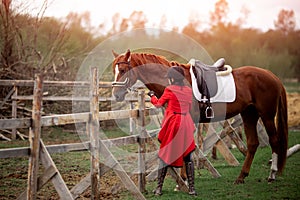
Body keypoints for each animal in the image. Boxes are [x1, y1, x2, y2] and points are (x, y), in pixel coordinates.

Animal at [112, 49, 288, 184]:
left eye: (123, 71)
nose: (116, 95)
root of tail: (272, 76)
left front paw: (182, 180)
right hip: (249, 115)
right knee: (252, 144)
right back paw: (241, 177)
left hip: (266, 116)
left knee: (274, 140)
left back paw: (272, 174)